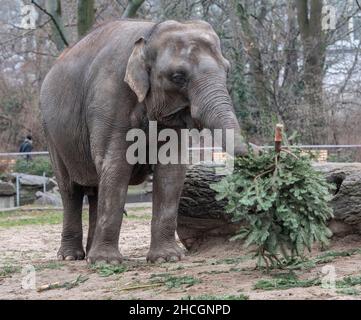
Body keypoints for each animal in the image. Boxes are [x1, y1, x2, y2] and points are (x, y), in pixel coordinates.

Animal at [40, 19, 252, 264]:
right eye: (178, 77)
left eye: (227, 70)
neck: (150, 33)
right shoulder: (110, 98)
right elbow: (116, 167)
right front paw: (107, 262)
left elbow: (171, 172)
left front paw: (166, 259)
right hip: (51, 134)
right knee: (70, 190)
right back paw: (71, 257)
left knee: (95, 189)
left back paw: (89, 254)